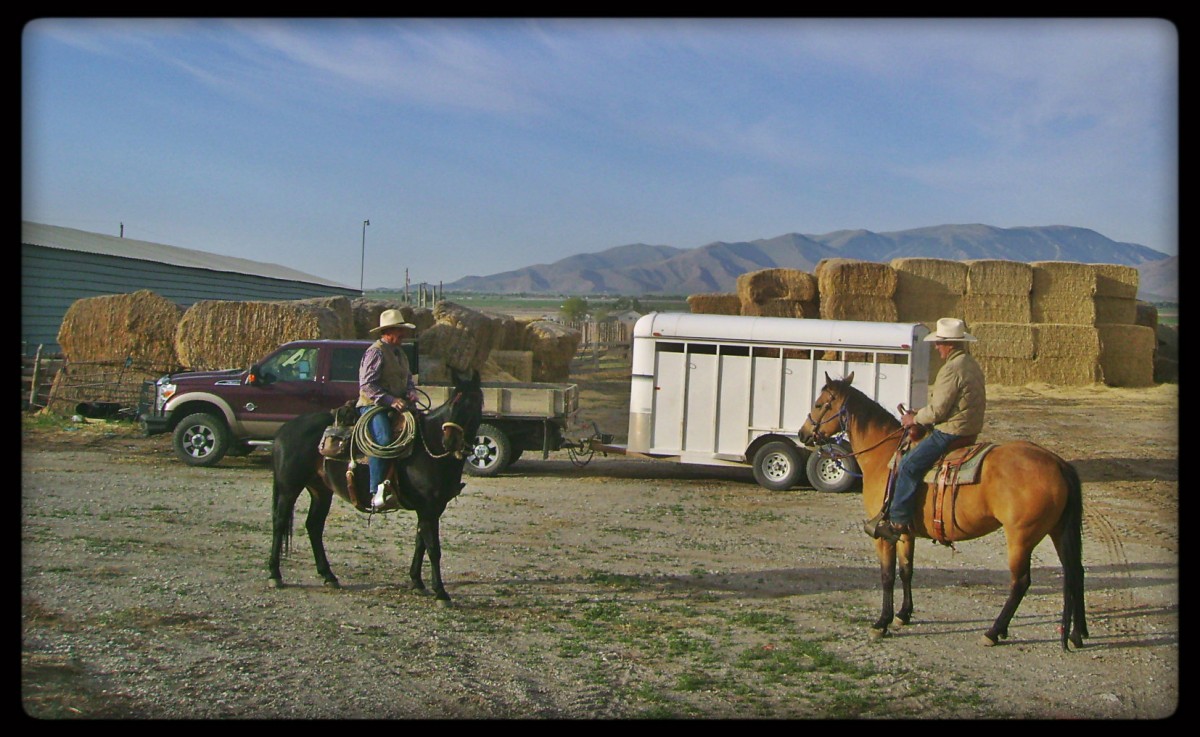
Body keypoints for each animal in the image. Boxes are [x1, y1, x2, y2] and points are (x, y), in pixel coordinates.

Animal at [267, 369, 482, 607]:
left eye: (475, 404)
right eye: (455, 402)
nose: (450, 441)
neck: (430, 448)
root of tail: (285, 430)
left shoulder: (431, 508)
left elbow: (421, 543)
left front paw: (416, 582)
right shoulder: (428, 508)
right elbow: (433, 549)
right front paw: (441, 593)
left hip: (320, 490)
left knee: (314, 526)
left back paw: (328, 576)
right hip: (289, 488)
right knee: (279, 523)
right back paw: (275, 574)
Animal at [796, 374, 1089, 652]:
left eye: (820, 404)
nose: (803, 433)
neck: (884, 456)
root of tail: (1058, 463)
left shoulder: (883, 535)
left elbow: (887, 575)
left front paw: (882, 623)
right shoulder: (905, 533)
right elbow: (907, 570)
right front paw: (903, 615)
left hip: (1021, 537)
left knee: (1021, 582)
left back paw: (994, 632)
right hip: (1057, 531)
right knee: (1076, 572)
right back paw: (1077, 635)